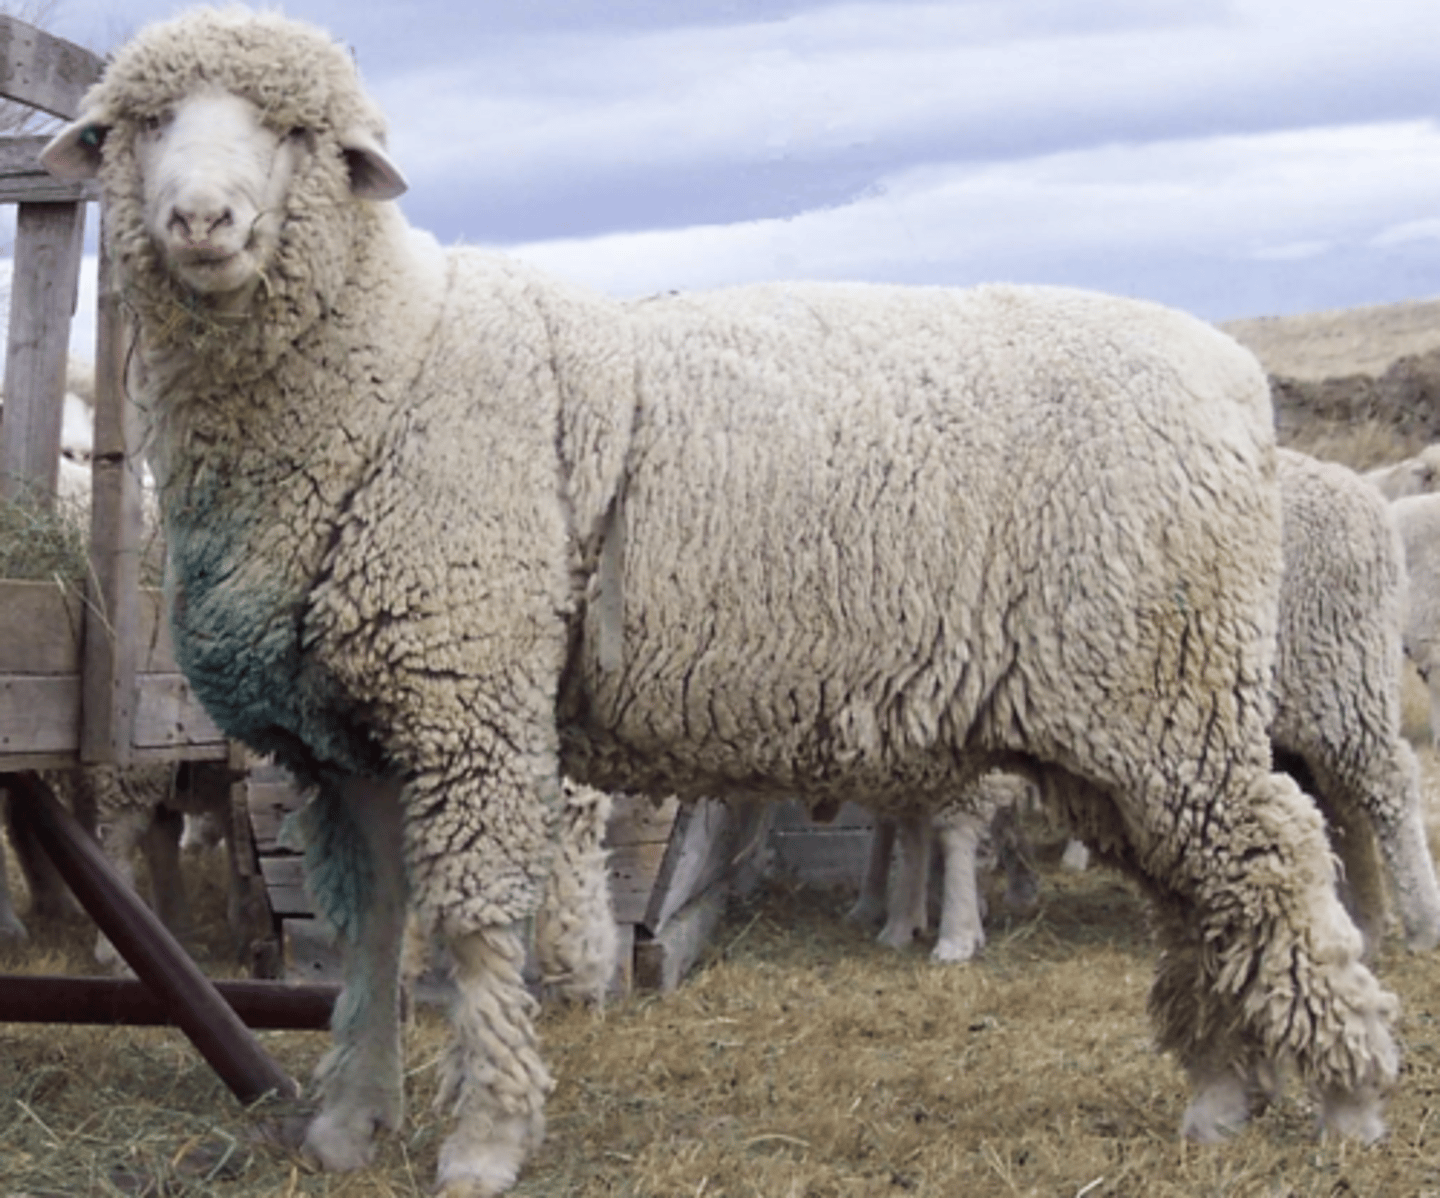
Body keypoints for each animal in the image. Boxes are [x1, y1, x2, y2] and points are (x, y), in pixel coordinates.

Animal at [39, 8, 1399, 1190]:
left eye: (294, 131)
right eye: (144, 123)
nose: (200, 216)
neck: (387, 356)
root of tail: (1235, 380)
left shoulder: (468, 699)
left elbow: (475, 924)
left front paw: (484, 1140)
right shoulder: (344, 740)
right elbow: (369, 935)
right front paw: (347, 1126)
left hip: (1162, 689)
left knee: (1278, 855)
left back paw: (1349, 1097)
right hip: (1116, 721)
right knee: (1196, 888)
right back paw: (1223, 1095)